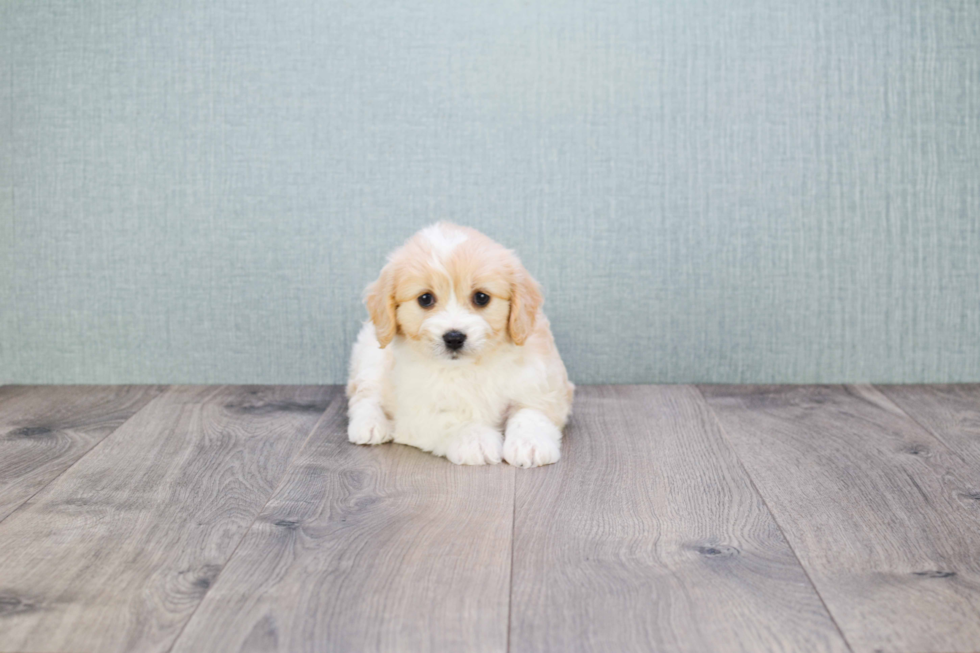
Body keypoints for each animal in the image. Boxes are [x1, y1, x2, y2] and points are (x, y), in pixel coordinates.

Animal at [346, 223, 572, 464]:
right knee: (365, 395)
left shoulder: (544, 384)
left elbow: (531, 411)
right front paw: (475, 439)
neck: (470, 367)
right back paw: (369, 425)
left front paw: (530, 443)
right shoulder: (418, 410)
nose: (454, 337)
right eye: (425, 299)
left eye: (481, 297)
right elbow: (452, 419)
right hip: (370, 357)